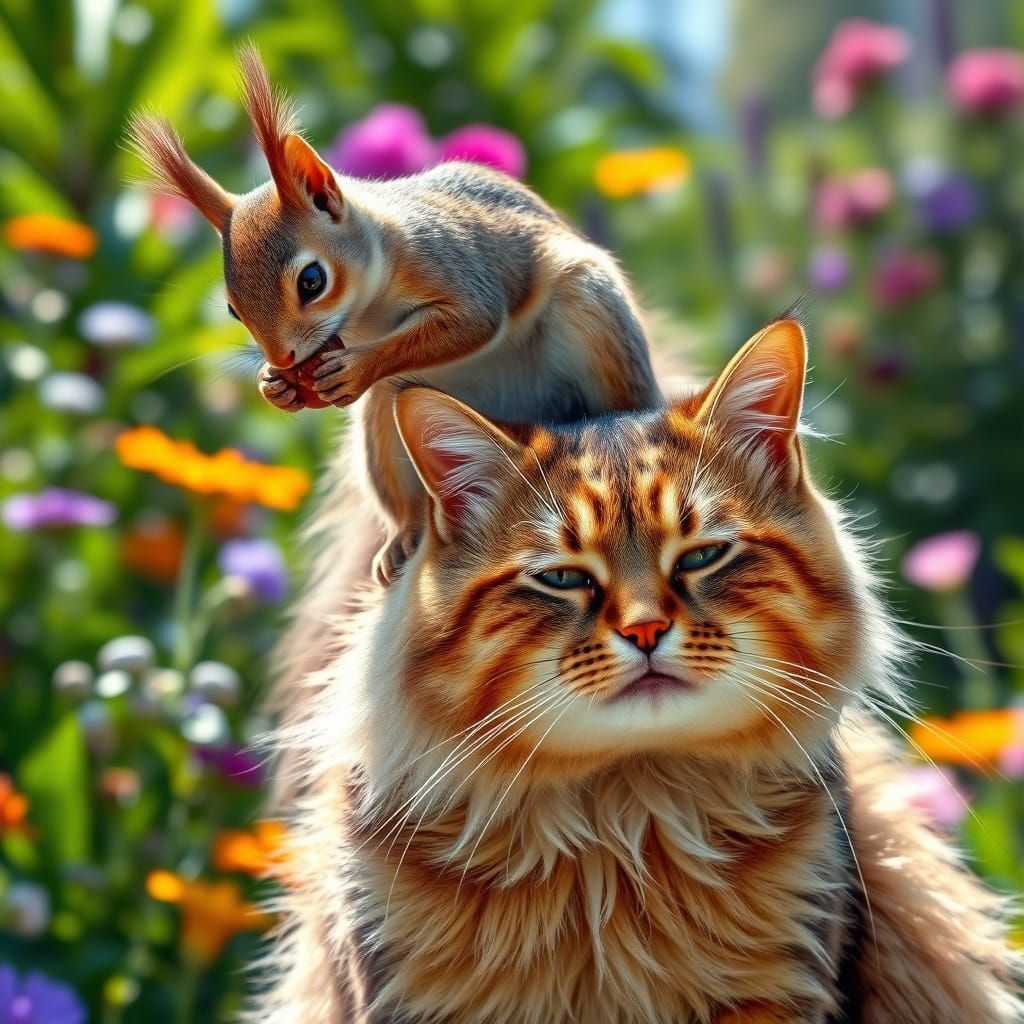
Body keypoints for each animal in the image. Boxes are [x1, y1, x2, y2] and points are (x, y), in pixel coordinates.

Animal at [129, 47, 662, 581]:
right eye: (232, 311)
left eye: (311, 280)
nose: (282, 359)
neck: (368, 305)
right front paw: (273, 385)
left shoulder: (453, 263)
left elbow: (475, 321)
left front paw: (356, 367)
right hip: (385, 419)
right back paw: (404, 536)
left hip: (594, 321)